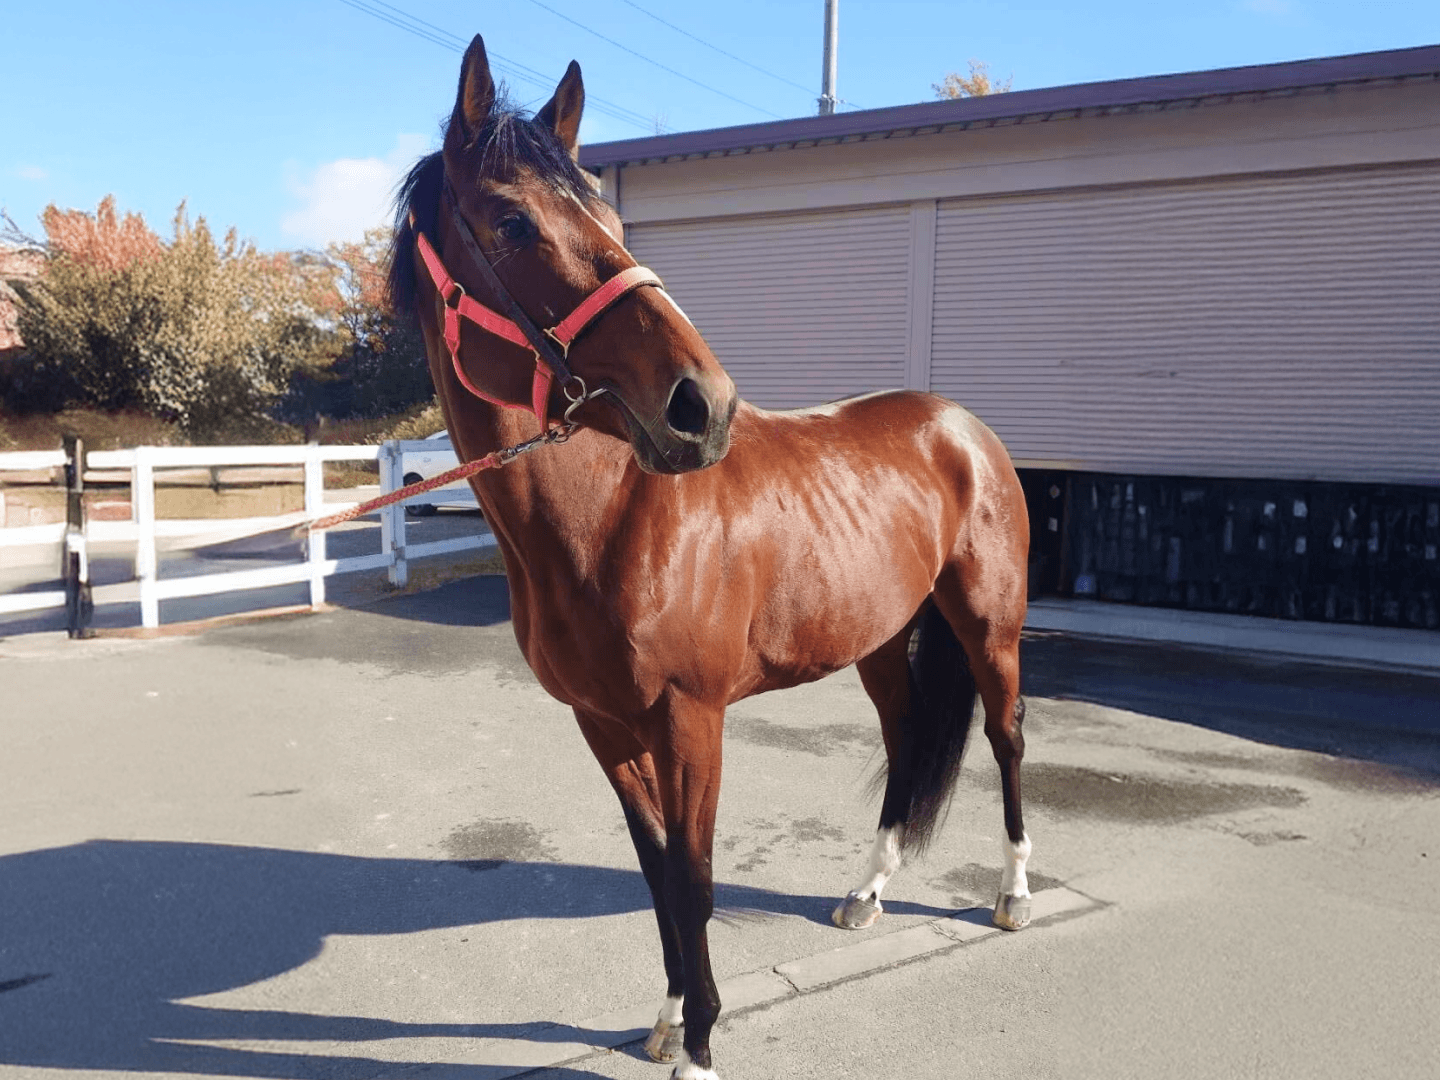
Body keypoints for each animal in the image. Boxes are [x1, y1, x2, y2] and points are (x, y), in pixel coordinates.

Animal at [388, 37, 1033, 1080]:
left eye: (610, 217)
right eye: (512, 221)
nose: (702, 407)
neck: (613, 518)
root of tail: (962, 427)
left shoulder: (692, 720)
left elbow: (693, 878)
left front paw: (698, 1046)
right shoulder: (604, 725)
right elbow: (656, 873)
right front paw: (665, 1020)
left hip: (988, 623)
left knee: (1008, 737)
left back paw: (1015, 892)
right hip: (879, 640)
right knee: (904, 740)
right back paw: (867, 893)